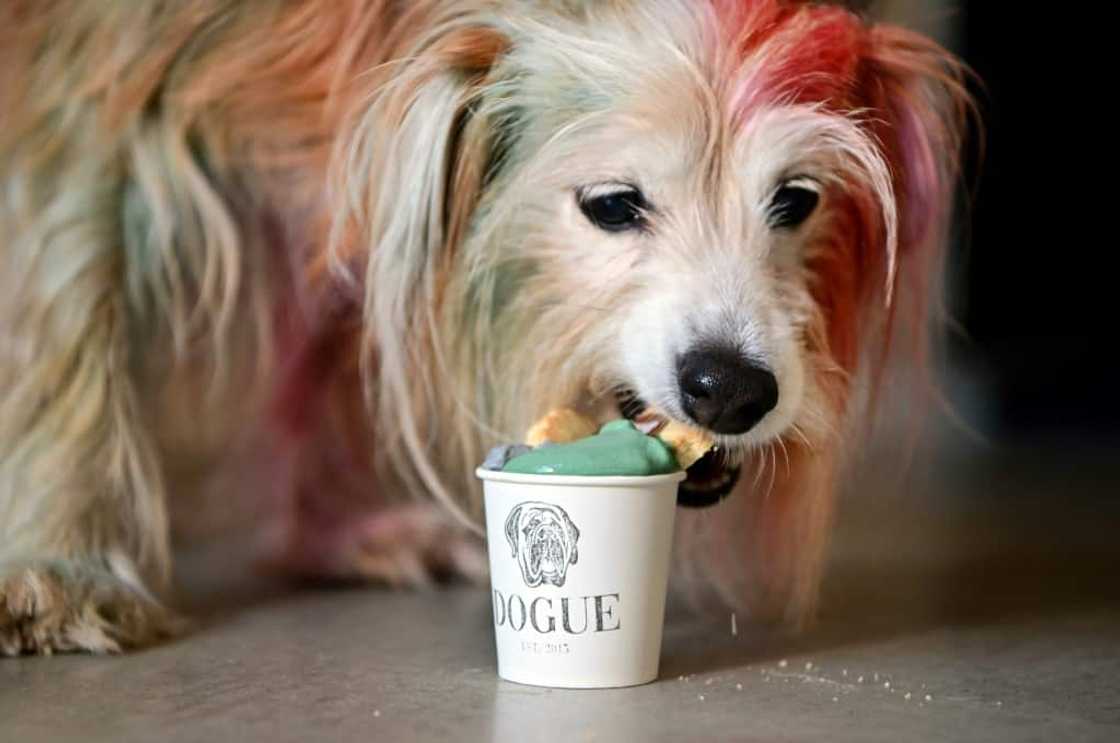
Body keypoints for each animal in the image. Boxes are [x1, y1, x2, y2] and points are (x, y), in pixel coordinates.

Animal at [0, 0, 967, 654]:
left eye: (797, 200)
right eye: (611, 205)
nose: (730, 389)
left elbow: (349, 320)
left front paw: (337, 526)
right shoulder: (85, 89)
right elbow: (67, 301)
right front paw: (67, 562)